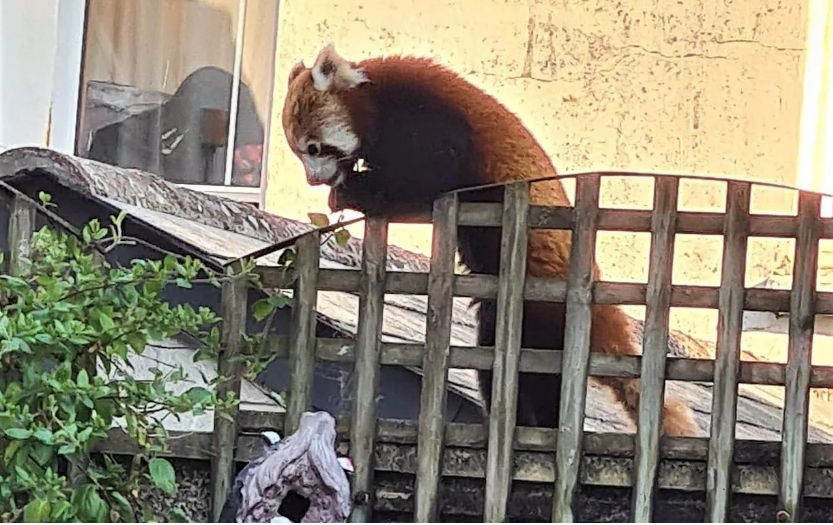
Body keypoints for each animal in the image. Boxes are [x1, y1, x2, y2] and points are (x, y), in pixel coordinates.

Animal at [280, 45, 696, 436]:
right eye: (298, 153)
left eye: (313, 148)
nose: (313, 180)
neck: (375, 98)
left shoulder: (426, 117)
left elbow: (430, 174)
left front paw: (353, 191)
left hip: (546, 311)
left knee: (540, 376)